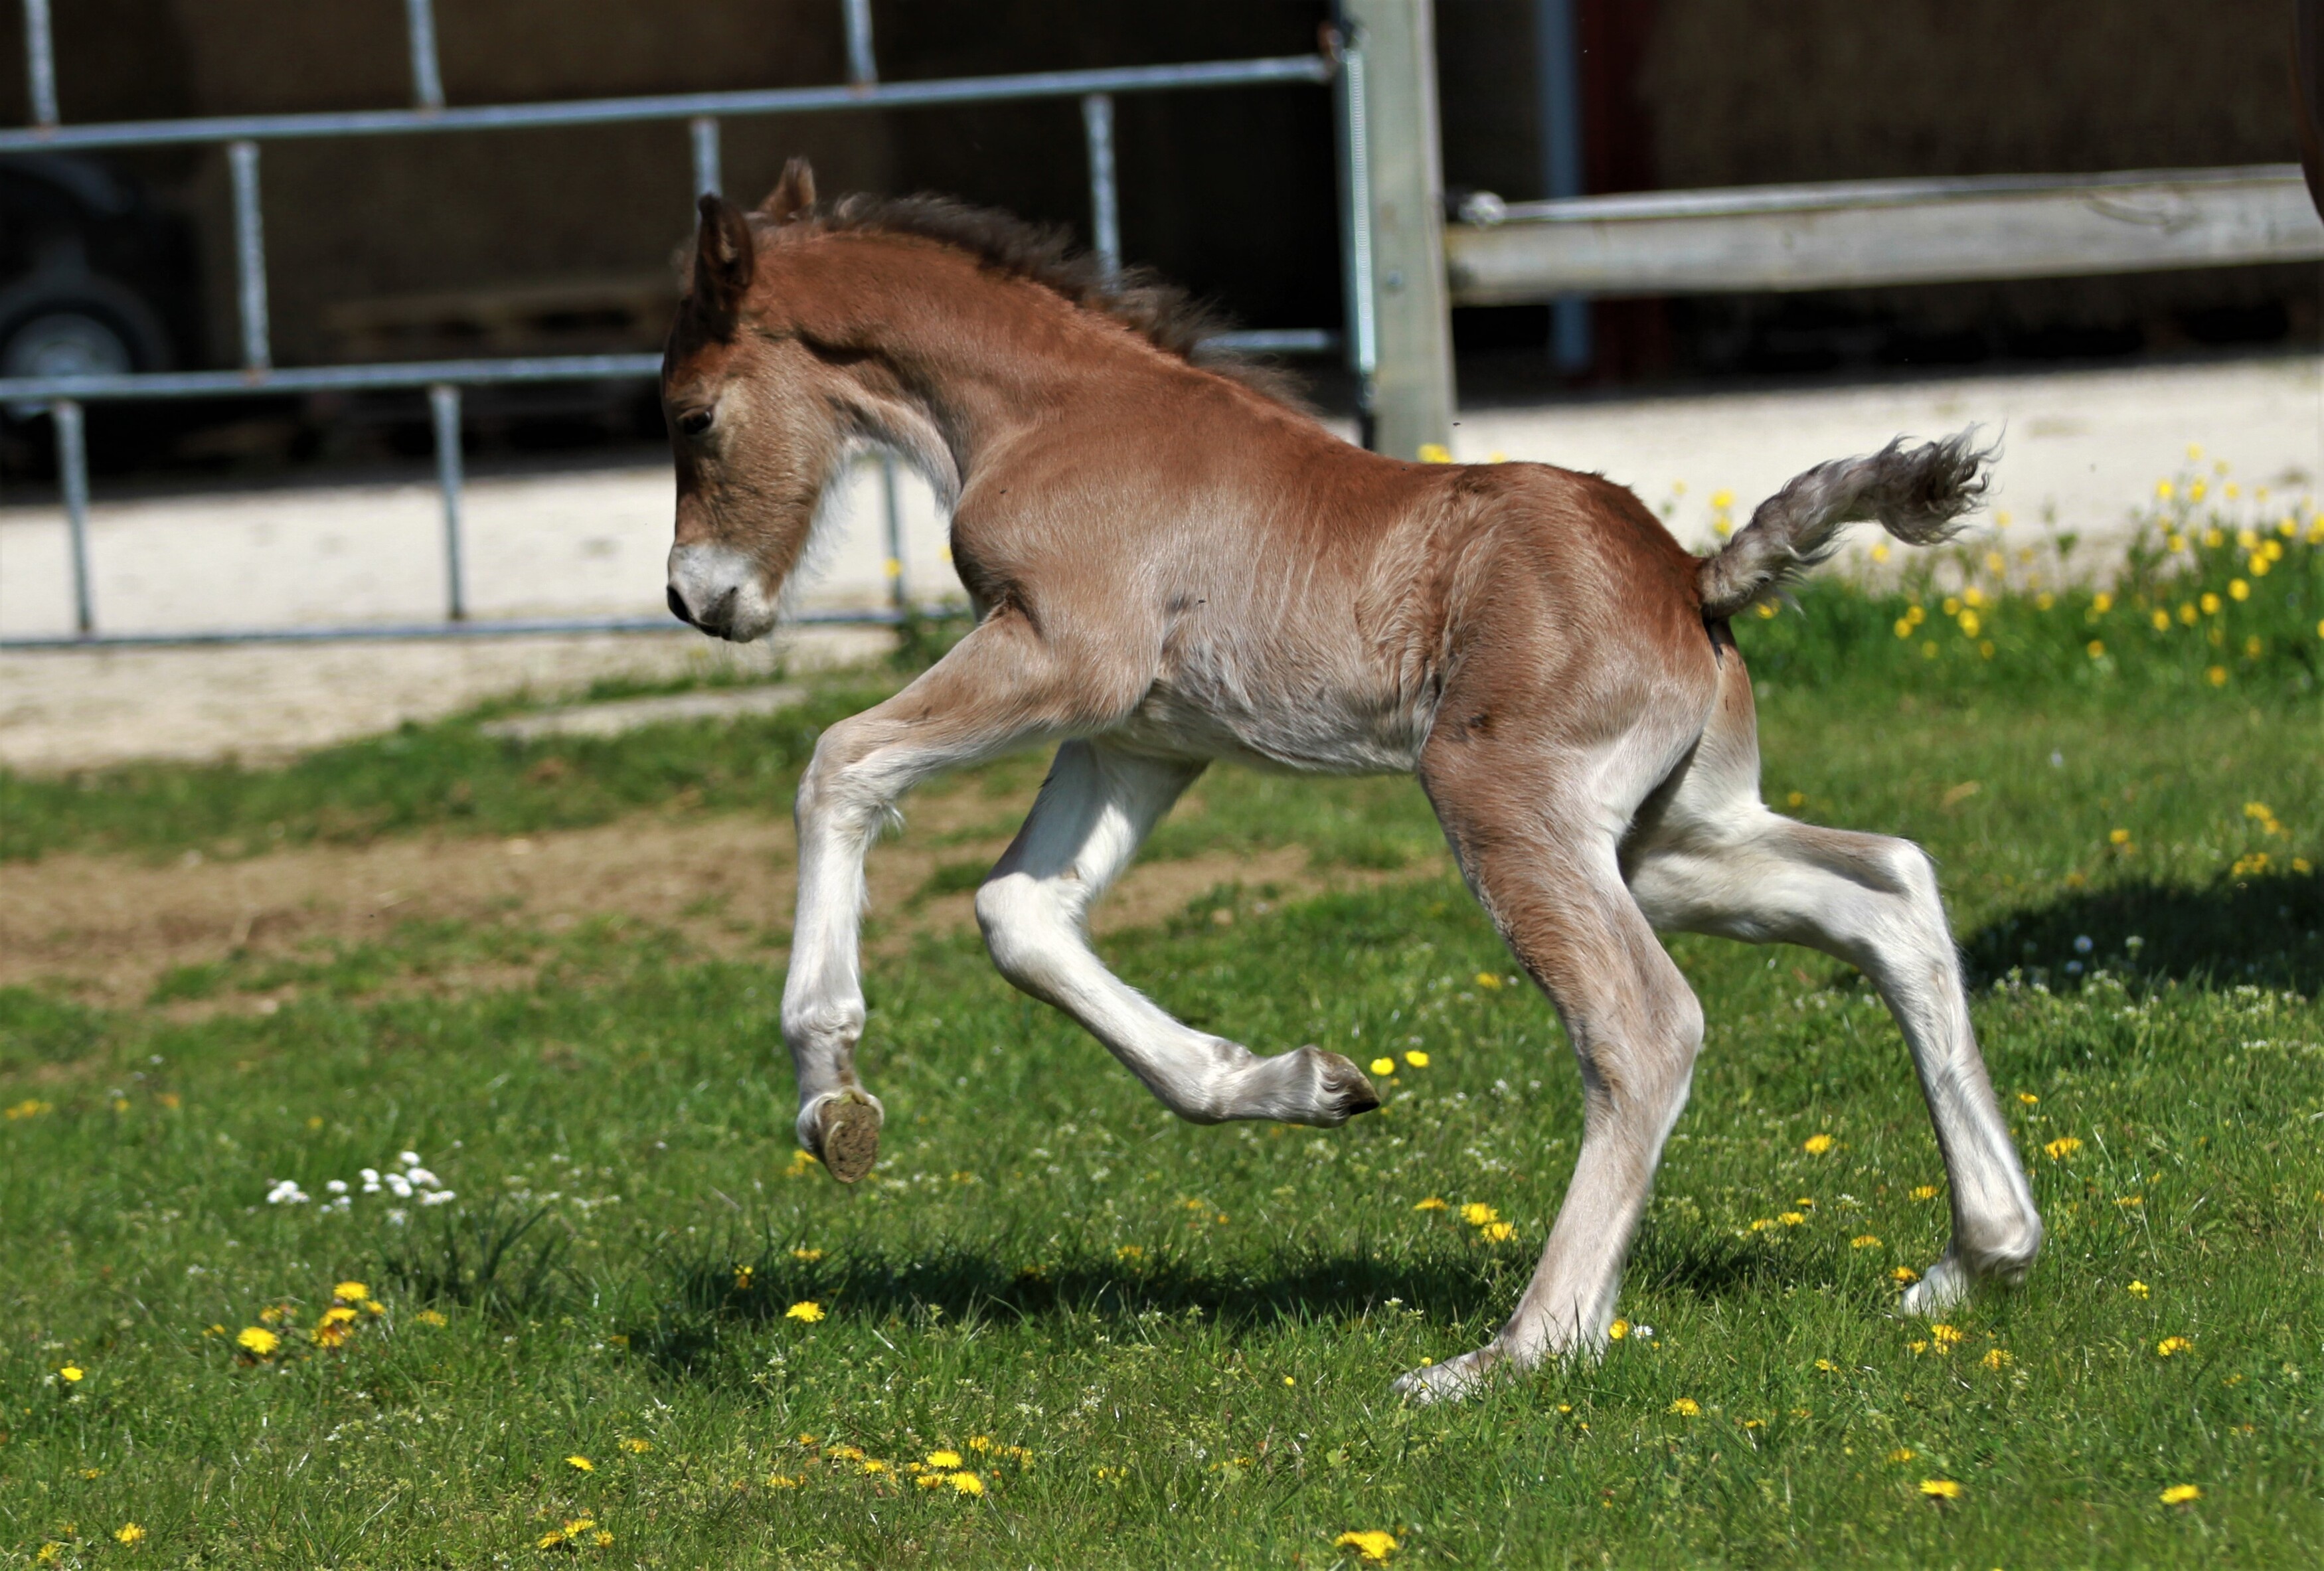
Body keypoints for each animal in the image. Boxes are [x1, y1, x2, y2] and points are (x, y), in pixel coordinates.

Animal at [655, 166, 2036, 1404]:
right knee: (1886, 888)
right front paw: (1293, 1083)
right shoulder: (1141, 738)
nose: (696, 599)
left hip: (1507, 805)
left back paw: (1520, 1353)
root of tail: (1690, 575)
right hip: (1669, 840)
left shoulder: (1065, 660)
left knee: (1646, 1023)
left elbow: (839, 762)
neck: (1050, 416)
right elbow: (1020, 912)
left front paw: (829, 1093)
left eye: (689, 416)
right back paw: (1978, 1256)